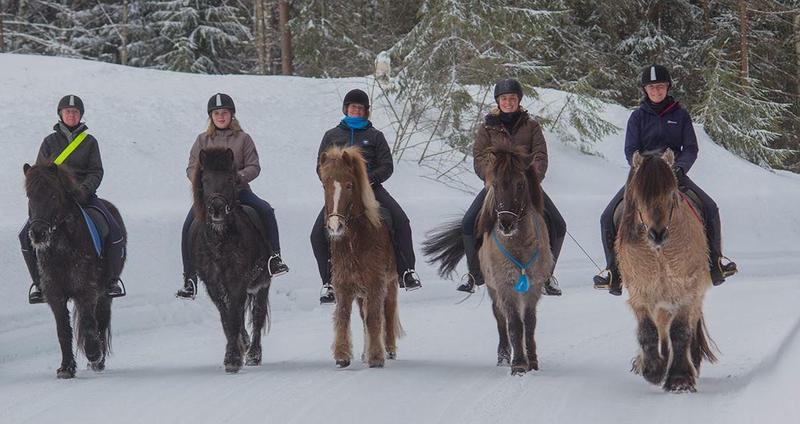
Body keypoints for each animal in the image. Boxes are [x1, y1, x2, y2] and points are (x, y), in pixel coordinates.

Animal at [22, 162, 126, 378]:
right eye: (29, 195)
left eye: (53, 195)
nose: (37, 233)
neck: (62, 250)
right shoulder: (55, 295)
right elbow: (63, 330)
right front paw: (66, 368)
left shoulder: (86, 290)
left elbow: (88, 324)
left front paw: (93, 354)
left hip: (105, 294)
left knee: (101, 321)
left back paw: (99, 361)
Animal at [191, 147, 272, 372]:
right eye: (205, 179)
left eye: (229, 178)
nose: (217, 208)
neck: (220, 242)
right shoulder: (213, 285)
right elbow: (227, 319)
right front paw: (233, 353)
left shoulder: (238, 281)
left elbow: (235, 316)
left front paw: (234, 359)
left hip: (263, 283)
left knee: (258, 316)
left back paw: (253, 354)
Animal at [318, 147, 404, 370]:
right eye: (324, 185)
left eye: (349, 185)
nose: (335, 227)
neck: (354, 241)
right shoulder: (344, 284)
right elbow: (343, 316)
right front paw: (342, 355)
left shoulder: (376, 283)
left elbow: (374, 318)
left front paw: (376, 357)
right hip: (361, 292)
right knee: (364, 317)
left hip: (391, 283)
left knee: (388, 312)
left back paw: (389, 349)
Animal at [422, 145, 552, 374]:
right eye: (495, 184)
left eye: (520, 184)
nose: (506, 223)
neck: (518, 247)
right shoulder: (504, 286)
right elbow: (514, 324)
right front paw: (519, 364)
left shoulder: (534, 286)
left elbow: (529, 322)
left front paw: (533, 361)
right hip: (493, 288)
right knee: (500, 319)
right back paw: (503, 356)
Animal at [616, 147, 716, 392]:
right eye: (639, 196)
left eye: (671, 195)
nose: (657, 234)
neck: (659, 254)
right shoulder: (640, 292)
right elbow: (647, 332)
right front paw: (653, 370)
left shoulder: (686, 292)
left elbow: (680, 332)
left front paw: (680, 378)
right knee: (661, 328)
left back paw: (692, 361)